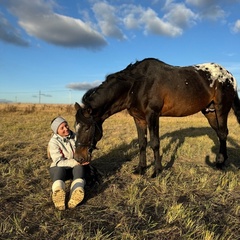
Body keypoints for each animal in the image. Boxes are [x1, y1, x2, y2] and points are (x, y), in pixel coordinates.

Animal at [74, 58, 239, 176]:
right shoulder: (139, 118)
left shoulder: (152, 115)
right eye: (75, 126)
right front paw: (141, 169)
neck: (137, 84)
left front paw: (157, 171)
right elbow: (142, 143)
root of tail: (230, 76)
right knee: (220, 134)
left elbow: (155, 143)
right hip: (210, 112)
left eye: (87, 128)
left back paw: (220, 164)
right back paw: (221, 160)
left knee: (223, 133)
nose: (79, 158)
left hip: (221, 108)